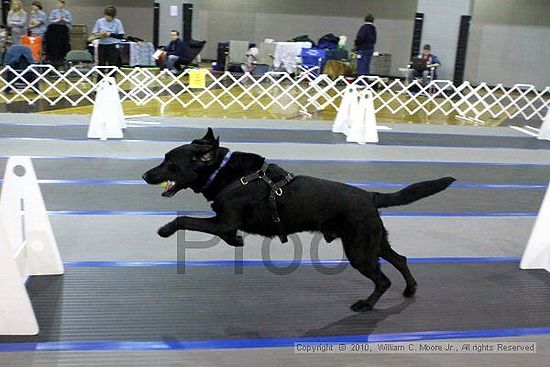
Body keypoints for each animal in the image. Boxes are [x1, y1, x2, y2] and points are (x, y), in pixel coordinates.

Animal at [143, 128, 458, 312]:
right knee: (401, 259)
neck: (225, 173)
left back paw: (366, 304)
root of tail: (371, 196)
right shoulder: (224, 222)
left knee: (383, 279)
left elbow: (187, 220)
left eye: (170, 163)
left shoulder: (224, 220)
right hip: (374, 241)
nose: (145, 175)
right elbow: (220, 231)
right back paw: (410, 289)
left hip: (359, 250)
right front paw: (235, 241)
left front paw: (164, 229)